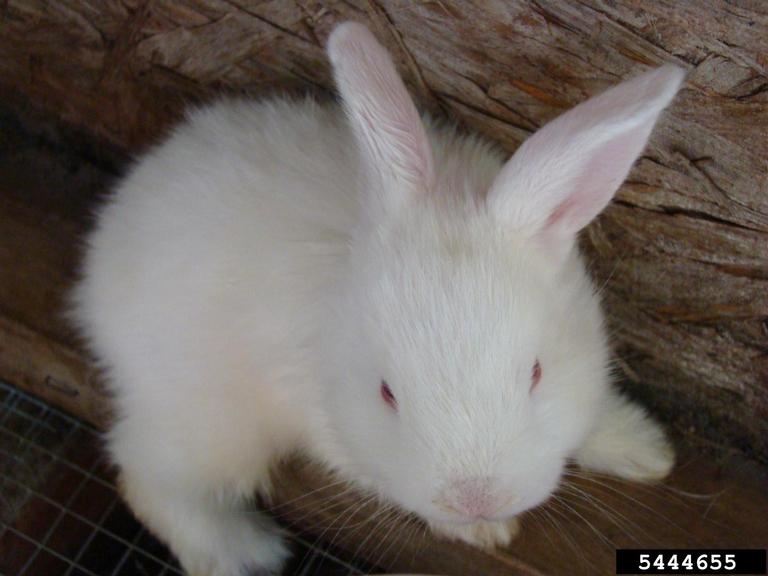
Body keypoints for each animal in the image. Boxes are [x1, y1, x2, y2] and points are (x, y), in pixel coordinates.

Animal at [70, 21, 684, 576]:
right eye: (387, 394)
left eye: (536, 373)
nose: (475, 498)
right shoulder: (335, 432)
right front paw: (483, 530)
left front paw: (647, 450)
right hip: (208, 422)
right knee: (145, 477)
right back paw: (242, 554)